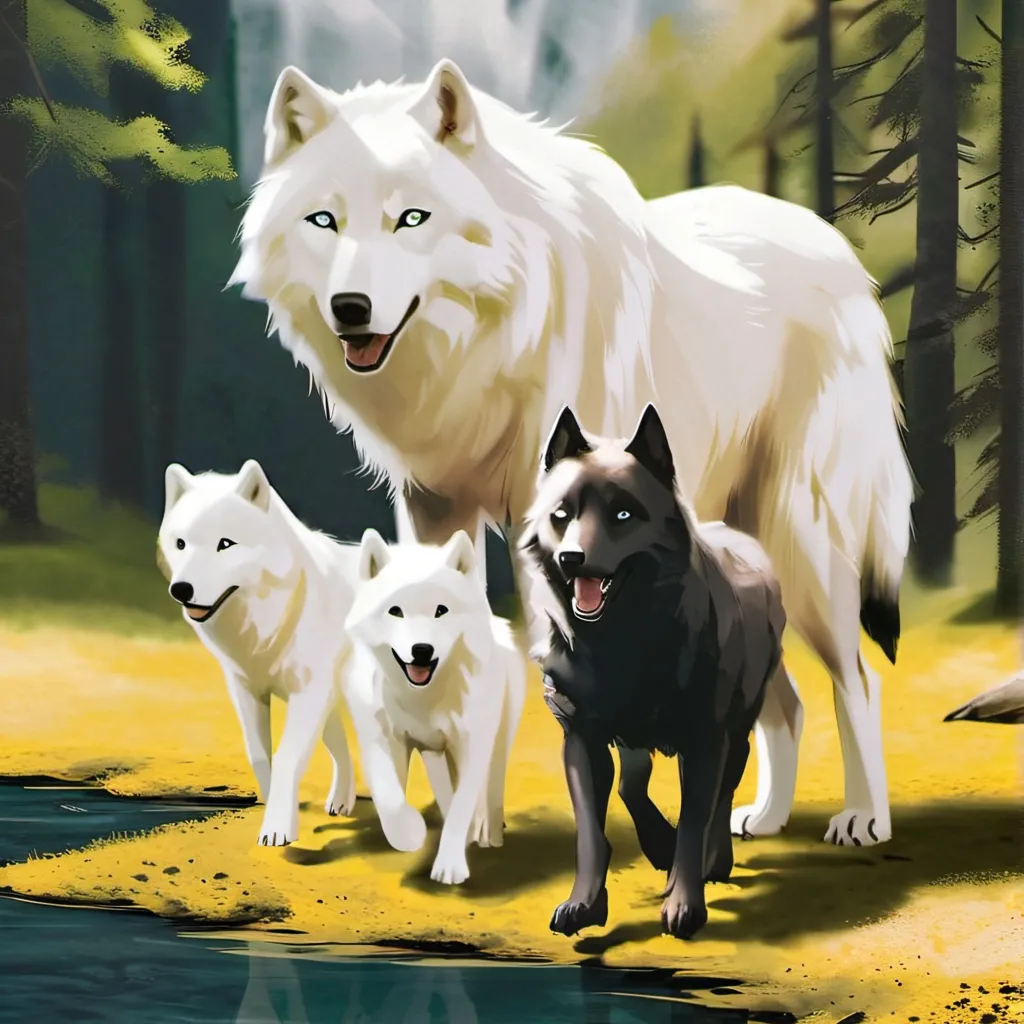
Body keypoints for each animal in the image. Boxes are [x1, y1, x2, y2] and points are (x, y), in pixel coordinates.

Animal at [158, 459, 362, 847]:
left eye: (225, 544)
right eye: (180, 543)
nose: (180, 590)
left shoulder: (307, 696)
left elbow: (286, 758)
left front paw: (278, 829)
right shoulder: (247, 691)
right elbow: (259, 756)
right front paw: (271, 809)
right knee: (343, 749)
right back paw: (342, 802)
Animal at [230, 57, 913, 847]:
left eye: (412, 218)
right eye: (325, 221)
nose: (350, 309)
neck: (491, 343)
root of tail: (842, 255)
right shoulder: (434, 506)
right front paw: (455, 819)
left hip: (804, 544)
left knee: (858, 680)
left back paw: (865, 818)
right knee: (787, 700)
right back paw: (765, 818)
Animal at [343, 528, 526, 884]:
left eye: (441, 610)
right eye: (395, 610)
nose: (422, 650)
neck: (422, 696)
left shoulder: (472, 746)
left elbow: (463, 805)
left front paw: (450, 866)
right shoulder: (382, 740)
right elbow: (391, 800)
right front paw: (409, 834)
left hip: (496, 745)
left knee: (489, 793)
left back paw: (489, 836)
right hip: (434, 754)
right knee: (446, 793)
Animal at [520, 404, 786, 940]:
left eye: (623, 514)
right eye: (561, 515)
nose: (572, 558)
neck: (621, 643)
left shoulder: (705, 740)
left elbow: (695, 819)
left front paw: (686, 903)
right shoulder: (582, 740)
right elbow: (591, 830)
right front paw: (585, 904)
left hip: (736, 731)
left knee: (722, 795)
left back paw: (713, 861)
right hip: (636, 739)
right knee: (633, 782)